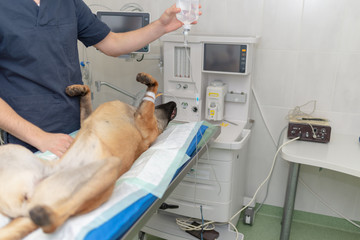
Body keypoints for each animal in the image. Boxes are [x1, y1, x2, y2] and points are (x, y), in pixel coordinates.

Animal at [0, 72, 177, 239]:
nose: (174, 103)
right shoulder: (88, 119)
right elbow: (87, 100)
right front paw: (80, 89)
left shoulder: (144, 122)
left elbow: (154, 84)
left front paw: (148, 79)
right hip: (11, 151)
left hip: (108, 169)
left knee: (63, 214)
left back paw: (46, 217)